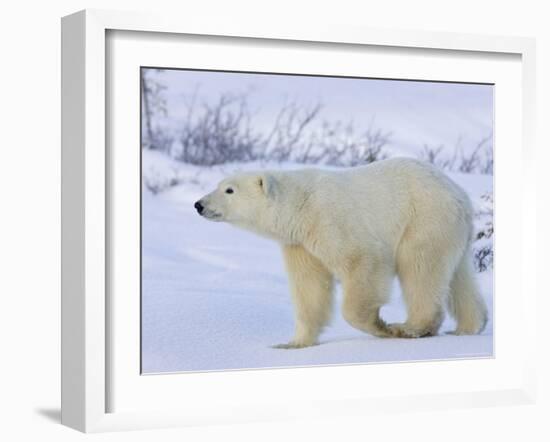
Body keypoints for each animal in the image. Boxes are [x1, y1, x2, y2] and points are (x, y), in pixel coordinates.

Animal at [196, 159, 490, 348]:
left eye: (229, 189)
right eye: (219, 185)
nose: (199, 204)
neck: (299, 206)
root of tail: (459, 194)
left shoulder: (330, 219)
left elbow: (362, 260)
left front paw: (379, 325)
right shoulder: (300, 244)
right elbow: (310, 288)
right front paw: (292, 343)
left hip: (424, 220)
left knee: (420, 269)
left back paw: (410, 327)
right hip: (451, 231)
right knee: (458, 276)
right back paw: (469, 326)